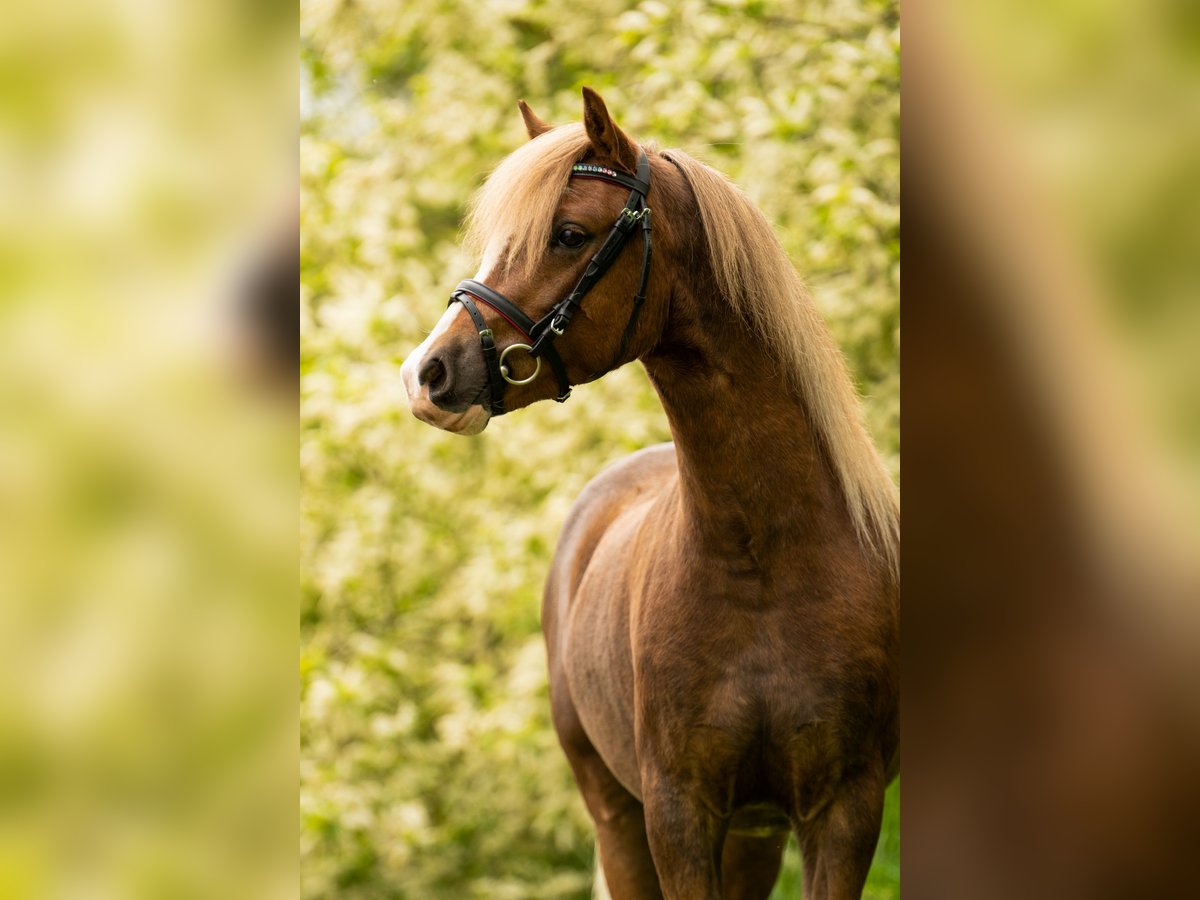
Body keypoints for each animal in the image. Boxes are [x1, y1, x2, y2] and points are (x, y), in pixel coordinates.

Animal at [403, 86, 902, 900]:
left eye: (569, 234)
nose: (426, 374)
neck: (763, 564)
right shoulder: (677, 813)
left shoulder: (842, 812)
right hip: (617, 817)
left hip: (754, 836)